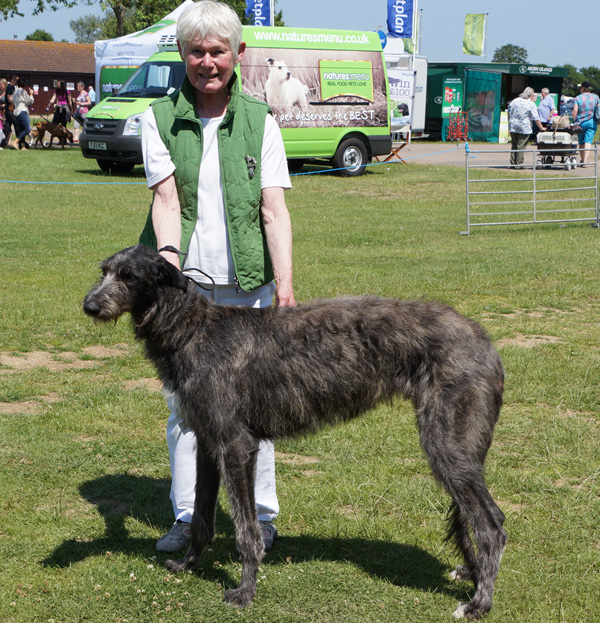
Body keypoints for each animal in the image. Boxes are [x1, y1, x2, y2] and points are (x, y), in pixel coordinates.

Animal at [83, 245, 506, 620]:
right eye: (104, 271)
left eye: (129, 276)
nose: (89, 306)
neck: (192, 329)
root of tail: (484, 340)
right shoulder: (207, 441)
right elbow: (202, 517)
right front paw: (188, 564)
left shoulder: (236, 446)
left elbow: (246, 529)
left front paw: (244, 591)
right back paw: (472, 577)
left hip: (446, 444)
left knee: (491, 525)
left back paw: (479, 604)